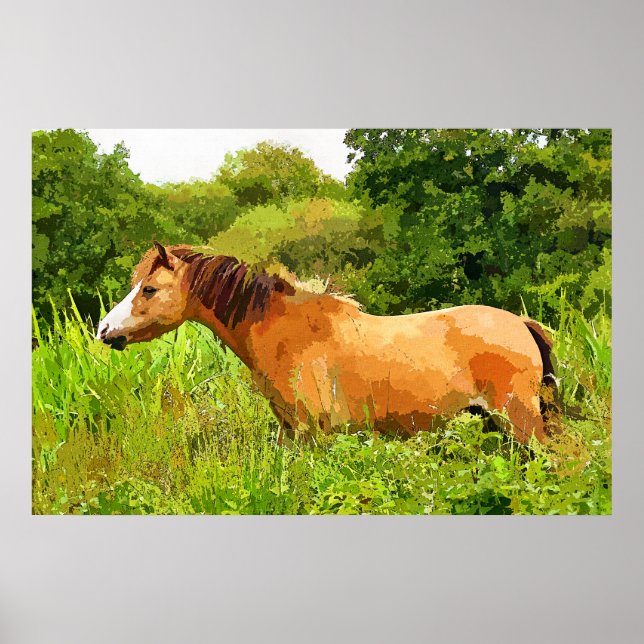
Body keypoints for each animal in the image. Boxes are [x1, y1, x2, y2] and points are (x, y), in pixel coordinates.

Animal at [96, 242, 557, 444]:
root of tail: (520, 323)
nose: (103, 329)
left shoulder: (312, 434)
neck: (283, 331)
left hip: (520, 421)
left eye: (149, 289)